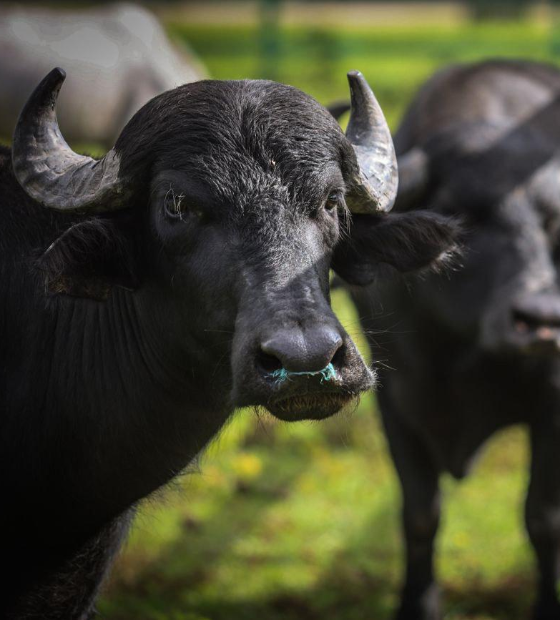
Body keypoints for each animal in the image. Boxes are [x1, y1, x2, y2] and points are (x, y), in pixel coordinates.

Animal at [350, 59, 560, 620]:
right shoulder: (394, 399)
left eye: (553, 222)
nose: (541, 319)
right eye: (465, 215)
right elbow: (421, 513)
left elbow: (543, 519)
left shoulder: (553, 400)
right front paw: (417, 602)